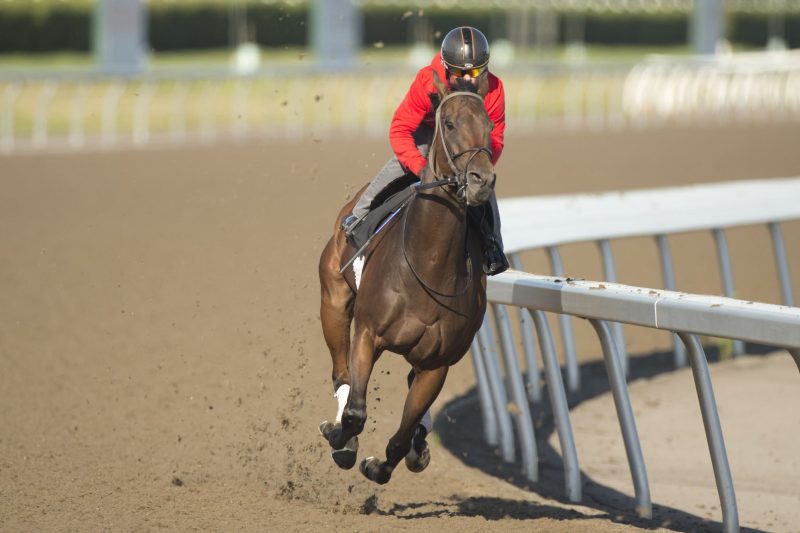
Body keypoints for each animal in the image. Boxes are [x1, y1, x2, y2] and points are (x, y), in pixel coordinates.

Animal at [318, 69, 494, 482]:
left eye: (490, 125)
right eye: (449, 123)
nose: (481, 179)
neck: (427, 264)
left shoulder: (437, 364)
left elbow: (399, 438)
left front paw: (382, 463)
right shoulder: (368, 333)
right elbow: (356, 413)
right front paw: (340, 439)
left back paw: (418, 444)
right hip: (333, 298)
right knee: (341, 375)